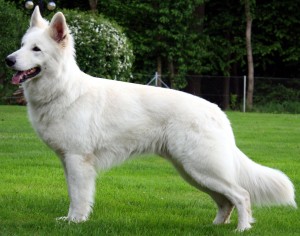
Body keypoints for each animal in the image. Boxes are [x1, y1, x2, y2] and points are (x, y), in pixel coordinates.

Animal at [5, 6, 296, 230]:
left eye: (36, 49)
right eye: (21, 46)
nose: (8, 60)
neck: (64, 89)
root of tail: (218, 112)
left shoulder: (78, 161)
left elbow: (78, 197)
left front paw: (75, 222)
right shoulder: (69, 162)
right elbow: (74, 194)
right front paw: (70, 219)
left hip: (201, 167)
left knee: (242, 195)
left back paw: (242, 229)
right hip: (192, 171)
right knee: (226, 201)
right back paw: (216, 226)